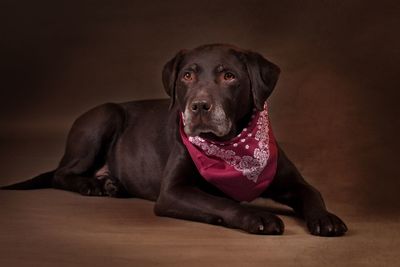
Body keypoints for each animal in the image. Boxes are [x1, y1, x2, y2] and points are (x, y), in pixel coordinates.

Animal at [1, 45, 346, 238]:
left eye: (229, 76)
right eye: (187, 76)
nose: (199, 106)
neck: (231, 147)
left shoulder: (290, 180)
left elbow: (312, 191)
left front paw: (325, 218)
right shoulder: (173, 192)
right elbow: (222, 201)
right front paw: (257, 216)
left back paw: (111, 184)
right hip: (105, 116)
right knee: (61, 175)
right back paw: (92, 185)